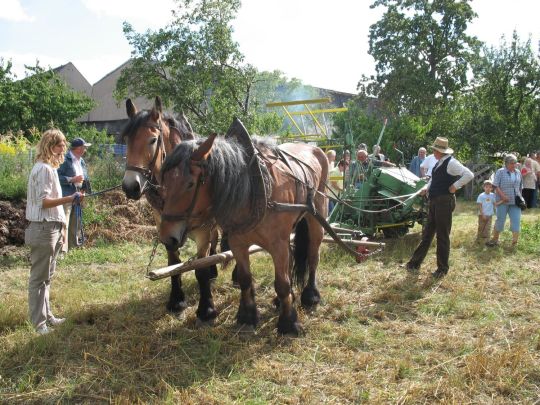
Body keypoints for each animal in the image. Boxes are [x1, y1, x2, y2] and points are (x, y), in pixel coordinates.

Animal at [121, 98, 218, 322]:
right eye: (126, 140)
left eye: (153, 140)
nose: (130, 187)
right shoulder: (163, 225)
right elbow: (173, 261)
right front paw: (176, 300)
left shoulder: (203, 230)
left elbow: (200, 268)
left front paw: (206, 309)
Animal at [159, 131, 330, 332]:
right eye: (164, 181)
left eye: (190, 184)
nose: (167, 237)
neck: (255, 189)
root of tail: (314, 148)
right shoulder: (238, 243)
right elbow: (245, 279)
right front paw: (247, 316)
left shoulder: (277, 244)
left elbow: (282, 283)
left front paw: (289, 323)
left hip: (316, 217)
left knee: (313, 256)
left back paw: (310, 296)